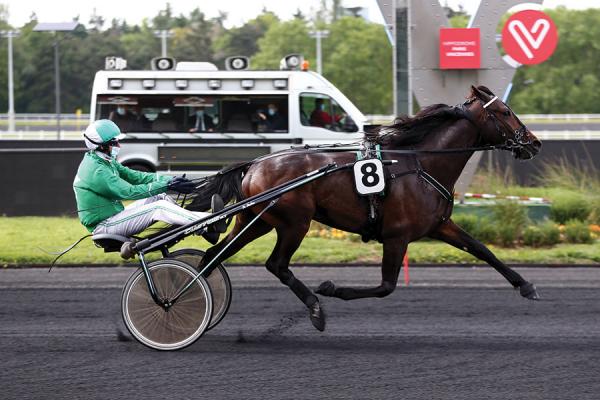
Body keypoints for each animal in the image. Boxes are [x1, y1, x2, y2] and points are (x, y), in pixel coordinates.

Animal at [188, 85, 544, 332]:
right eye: (505, 111)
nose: (535, 143)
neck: (422, 163)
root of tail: (255, 164)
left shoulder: (440, 225)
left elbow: (483, 249)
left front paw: (525, 286)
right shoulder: (397, 235)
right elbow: (386, 287)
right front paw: (332, 288)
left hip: (257, 220)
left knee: (215, 255)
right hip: (294, 222)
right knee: (276, 264)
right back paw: (315, 308)